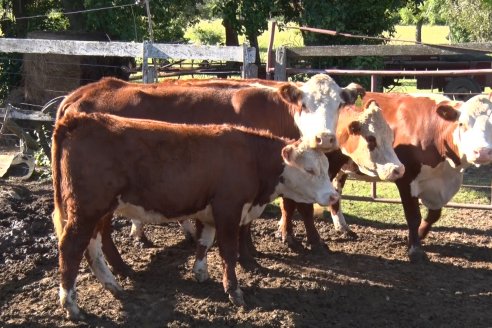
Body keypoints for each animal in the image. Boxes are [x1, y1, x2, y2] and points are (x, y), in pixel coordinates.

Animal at [52, 111, 338, 320]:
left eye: (326, 168)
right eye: (310, 169)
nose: (334, 196)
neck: (252, 158)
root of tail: (78, 119)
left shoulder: (209, 210)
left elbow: (204, 242)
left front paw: (200, 272)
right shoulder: (228, 209)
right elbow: (228, 252)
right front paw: (233, 290)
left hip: (97, 210)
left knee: (92, 246)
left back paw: (112, 284)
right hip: (86, 209)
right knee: (71, 247)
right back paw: (70, 304)